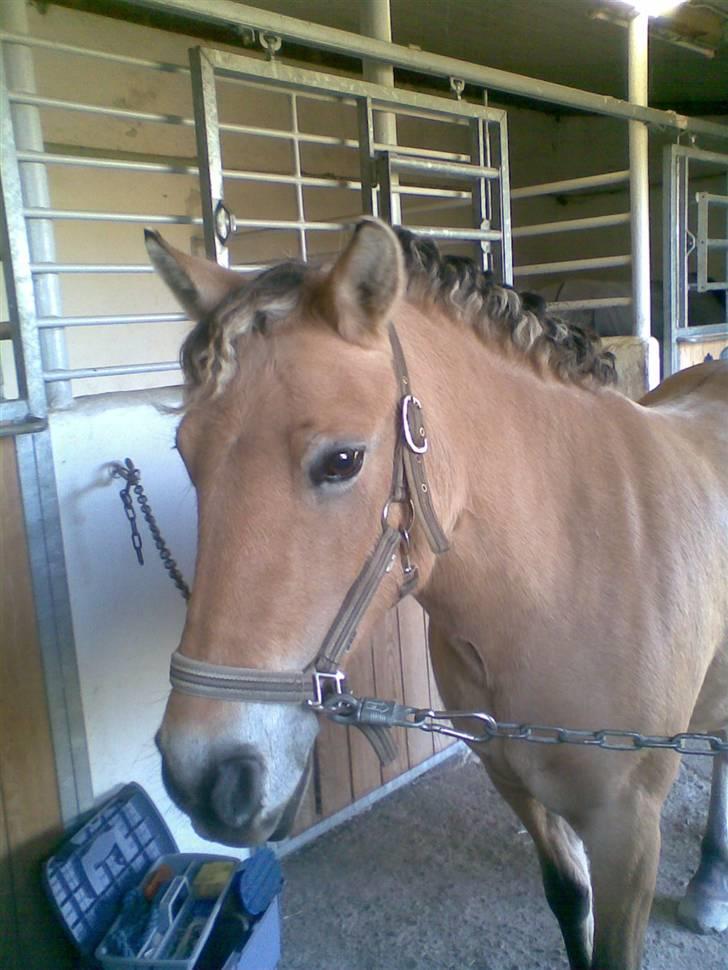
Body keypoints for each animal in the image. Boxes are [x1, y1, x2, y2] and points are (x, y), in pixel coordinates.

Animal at [146, 218, 728, 970]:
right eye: (186, 454)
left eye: (343, 460)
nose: (203, 777)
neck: (567, 572)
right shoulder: (514, 782)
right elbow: (570, 902)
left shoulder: (628, 829)